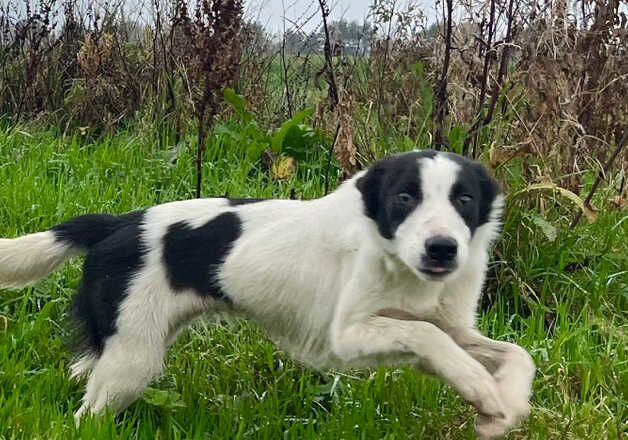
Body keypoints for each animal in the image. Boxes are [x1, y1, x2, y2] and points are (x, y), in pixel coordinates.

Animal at [0, 150, 536, 436]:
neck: (399, 264)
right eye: (404, 197)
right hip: (132, 361)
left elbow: (512, 353)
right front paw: (482, 389)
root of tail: (118, 223)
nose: (442, 249)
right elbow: (429, 337)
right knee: (86, 416)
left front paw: (503, 405)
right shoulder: (349, 335)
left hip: (127, 344)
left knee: (81, 371)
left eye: (464, 199)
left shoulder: (444, 328)